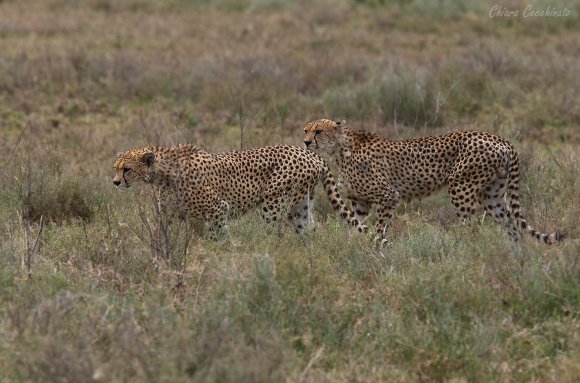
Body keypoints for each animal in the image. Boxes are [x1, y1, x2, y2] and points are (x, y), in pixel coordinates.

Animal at [113, 145, 368, 237]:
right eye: (115, 168)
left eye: (126, 169)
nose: (115, 182)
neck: (161, 174)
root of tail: (309, 152)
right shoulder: (170, 215)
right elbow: (165, 236)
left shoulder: (218, 208)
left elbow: (217, 236)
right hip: (301, 206)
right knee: (309, 230)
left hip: (273, 204)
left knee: (273, 233)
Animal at [302, 118, 564, 248]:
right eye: (306, 130)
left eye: (318, 131)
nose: (305, 142)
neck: (339, 148)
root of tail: (500, 138)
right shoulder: (360, 202)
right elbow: (355, 225)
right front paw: (354, 247)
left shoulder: (388, 196)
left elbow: (379, 228)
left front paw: (377, 248)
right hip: (493, 194)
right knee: (511, 226)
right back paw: (514, 257)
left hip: (461, 187)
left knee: (472, 228)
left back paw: (463, 255)